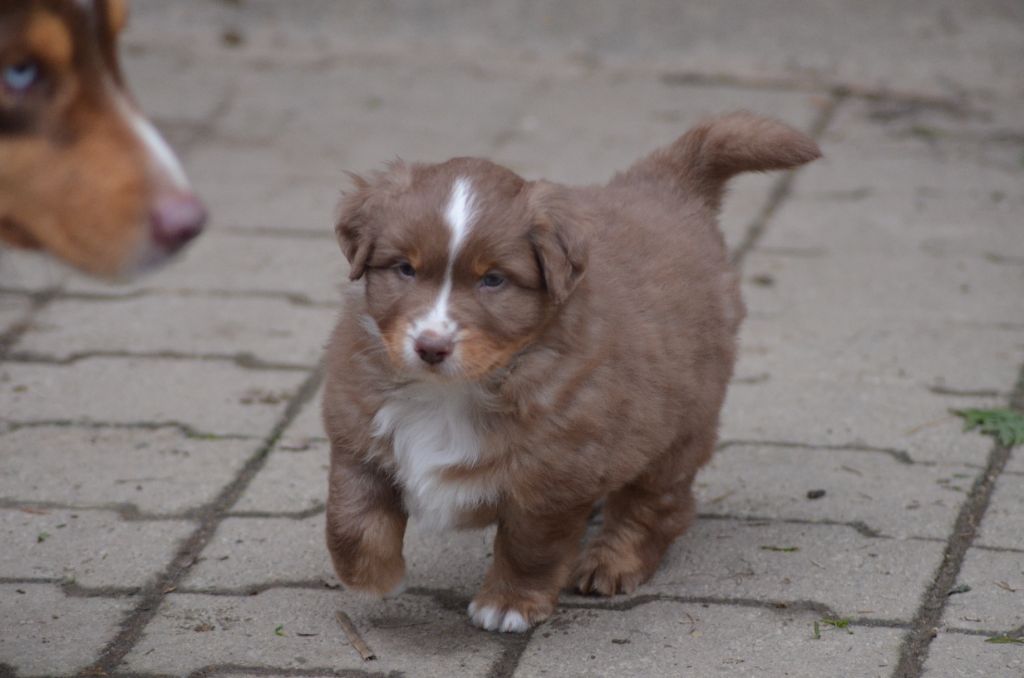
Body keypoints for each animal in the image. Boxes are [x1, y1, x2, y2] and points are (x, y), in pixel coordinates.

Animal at [323, 110, 819, 630]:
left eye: (493, 280)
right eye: (405, 269)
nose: (431, 347)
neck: (452, 392)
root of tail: (666, 184)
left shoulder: (556, 475)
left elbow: (529, 547)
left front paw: (509, 603)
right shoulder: (356, 429)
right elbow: (350, 519)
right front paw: (375, 578)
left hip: (679, 423)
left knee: (656, 505)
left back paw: (610, 561)